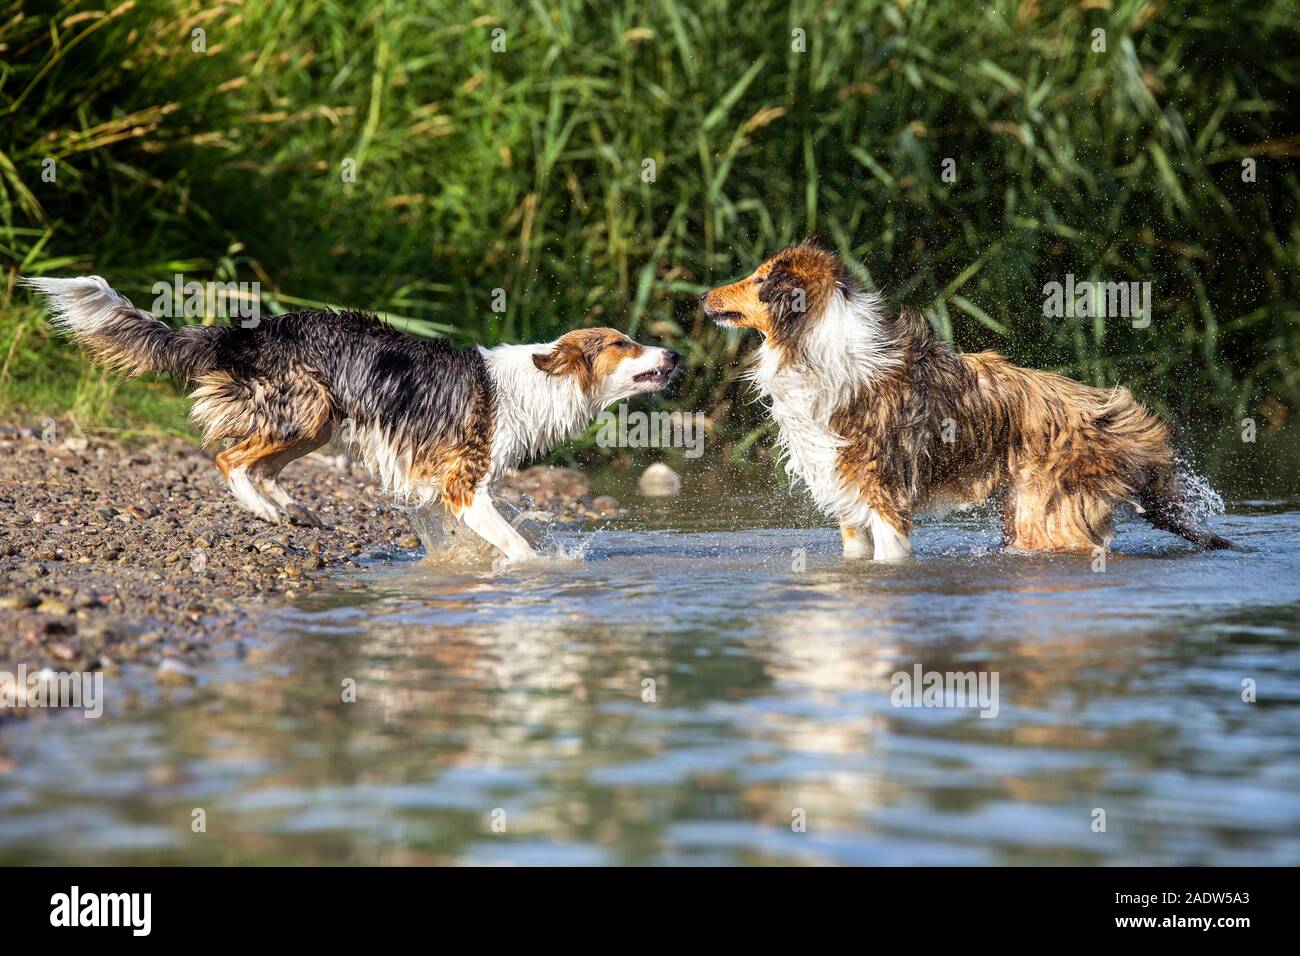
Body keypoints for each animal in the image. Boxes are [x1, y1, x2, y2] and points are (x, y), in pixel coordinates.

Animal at [27, 274, 681, 561]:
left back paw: (294, 511)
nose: (674, 355)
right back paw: (268, 511)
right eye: (623, 343)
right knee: (229, 458)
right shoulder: (463, 485)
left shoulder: (444, 483)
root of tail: (243, 332)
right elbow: (516, 544)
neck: (544, 383)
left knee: (260, 465)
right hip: (305, 409)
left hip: (318, 422)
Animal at [707, 239, 1232, 561]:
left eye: (759, 280)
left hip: (1044, 520)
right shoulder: (849, 506)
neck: (813, 348)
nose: (704, 296)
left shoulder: (885, 502)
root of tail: (1117, 414)